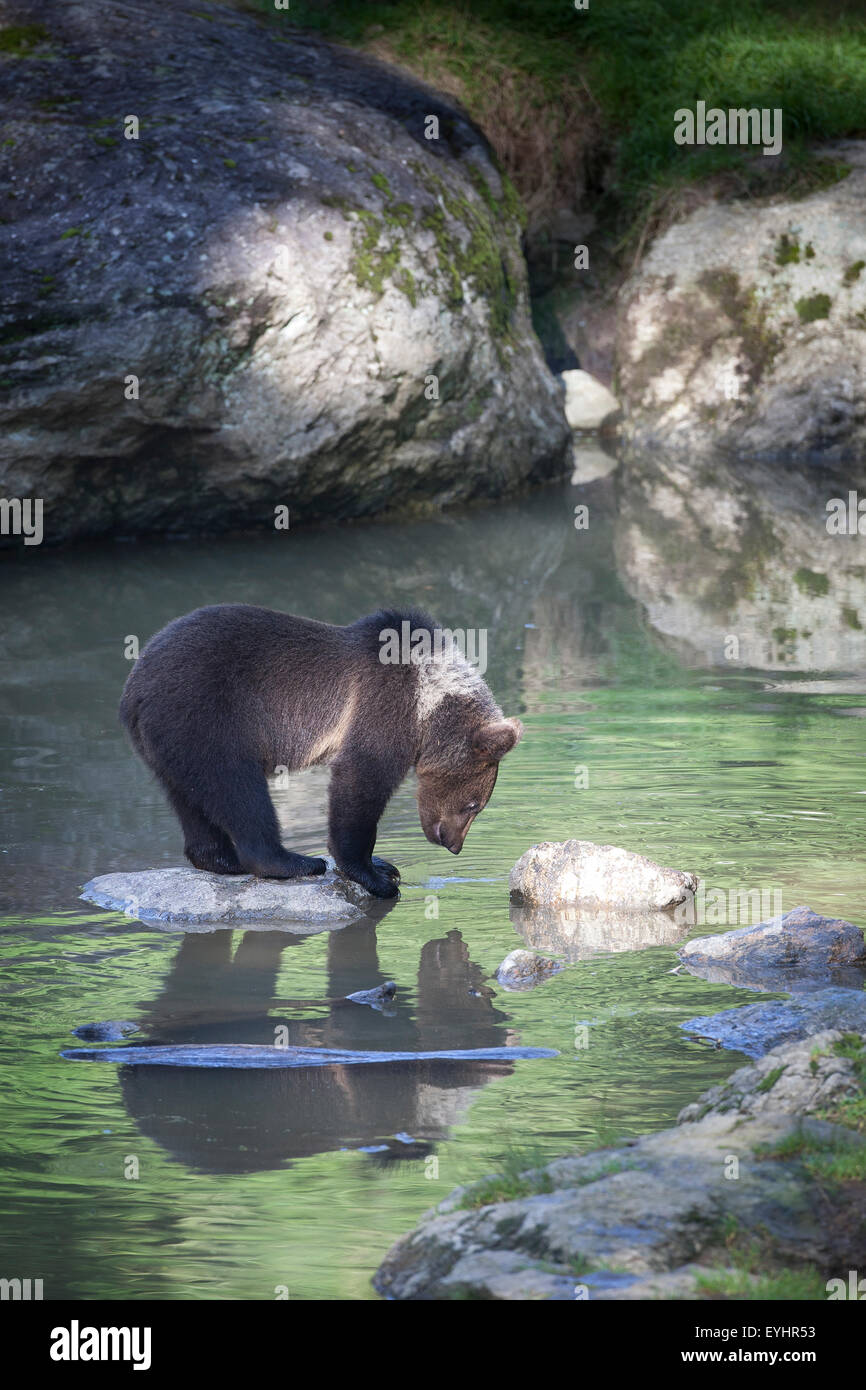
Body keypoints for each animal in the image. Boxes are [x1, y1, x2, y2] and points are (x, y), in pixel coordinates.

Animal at [119, 604, 522, 899]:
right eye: (474, 804)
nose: (452, 845)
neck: (428, 703)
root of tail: (134, 688)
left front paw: (384, 865)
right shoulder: (382, 708)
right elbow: (360, 784)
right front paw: (375, 876)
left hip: (170, 739)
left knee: (188, 795)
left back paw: (222, 859)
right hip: (208, 714)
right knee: (237, 788)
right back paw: (293, 861)